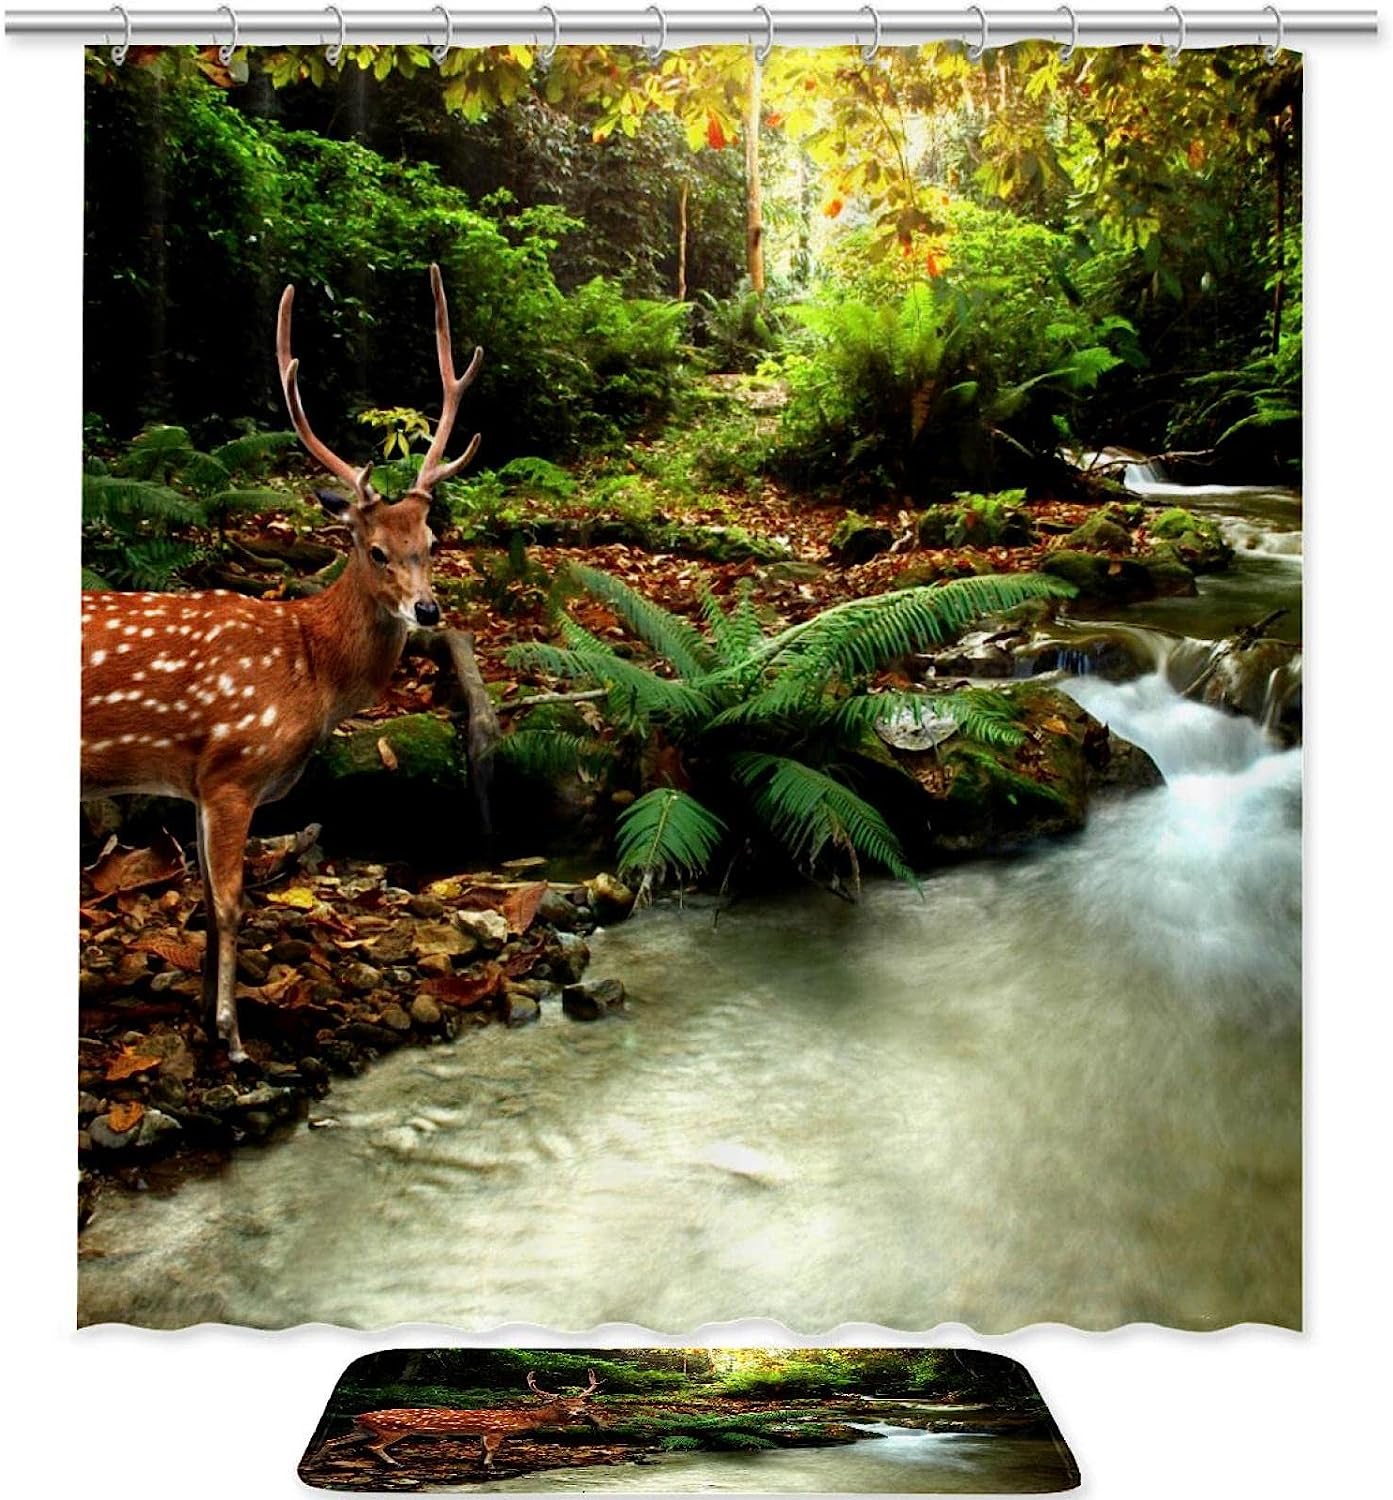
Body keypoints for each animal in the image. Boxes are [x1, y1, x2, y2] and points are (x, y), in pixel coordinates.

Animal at [80, 265, 482, 1063]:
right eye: (375, 550)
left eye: (432, 541)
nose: (428, 611)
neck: (308, 666)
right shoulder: (232, 767)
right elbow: (233, 904)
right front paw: (232, 1038)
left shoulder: (198, 782)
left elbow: (207, 903)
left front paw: (203, 1017)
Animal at [349, 1369, 604, 1469]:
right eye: (562, 1404)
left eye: (582, 1403)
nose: (581, 1413)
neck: (519, 1419)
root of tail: (358, 1415)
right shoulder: (495, 1431)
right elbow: (492, 1449)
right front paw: (489, 1465)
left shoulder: (484, 1432)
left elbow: (481, 1448)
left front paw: (480, 1461)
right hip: (393, 1430)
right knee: (373, 1446)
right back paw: (395, 1463)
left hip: (369, 1429)